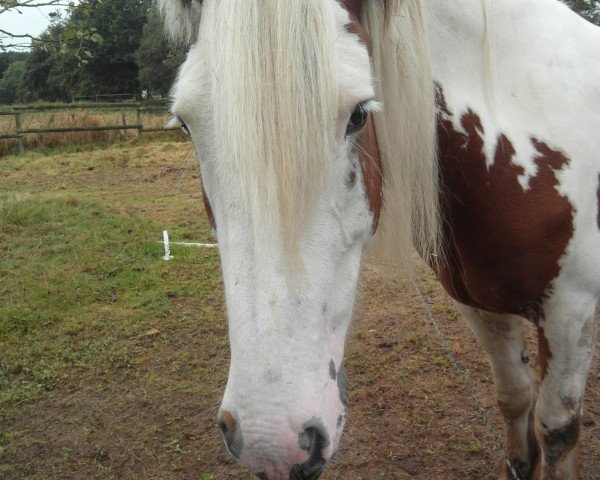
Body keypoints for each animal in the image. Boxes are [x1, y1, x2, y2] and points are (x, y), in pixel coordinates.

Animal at [159, 0, 600, 480]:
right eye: (185, 124)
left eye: (359, 114)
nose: (271, 441)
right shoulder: (480, 305)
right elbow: (515, 400)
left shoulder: (570, 312)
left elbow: (556, 430)